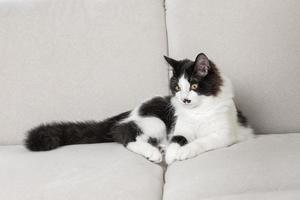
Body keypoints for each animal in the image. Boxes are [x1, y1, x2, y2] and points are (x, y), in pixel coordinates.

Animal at [25, 53, 253, 164]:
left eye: (195, 86)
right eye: (177, 87)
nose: (184, 100)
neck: (198, 111)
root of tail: (130, 111)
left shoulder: (224, 134)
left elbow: (201, 142)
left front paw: (181, 152)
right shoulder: (180, 128)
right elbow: (178, 140)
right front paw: (172, 155)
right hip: (155, 122)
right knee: (126, 135)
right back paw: (154, 153)